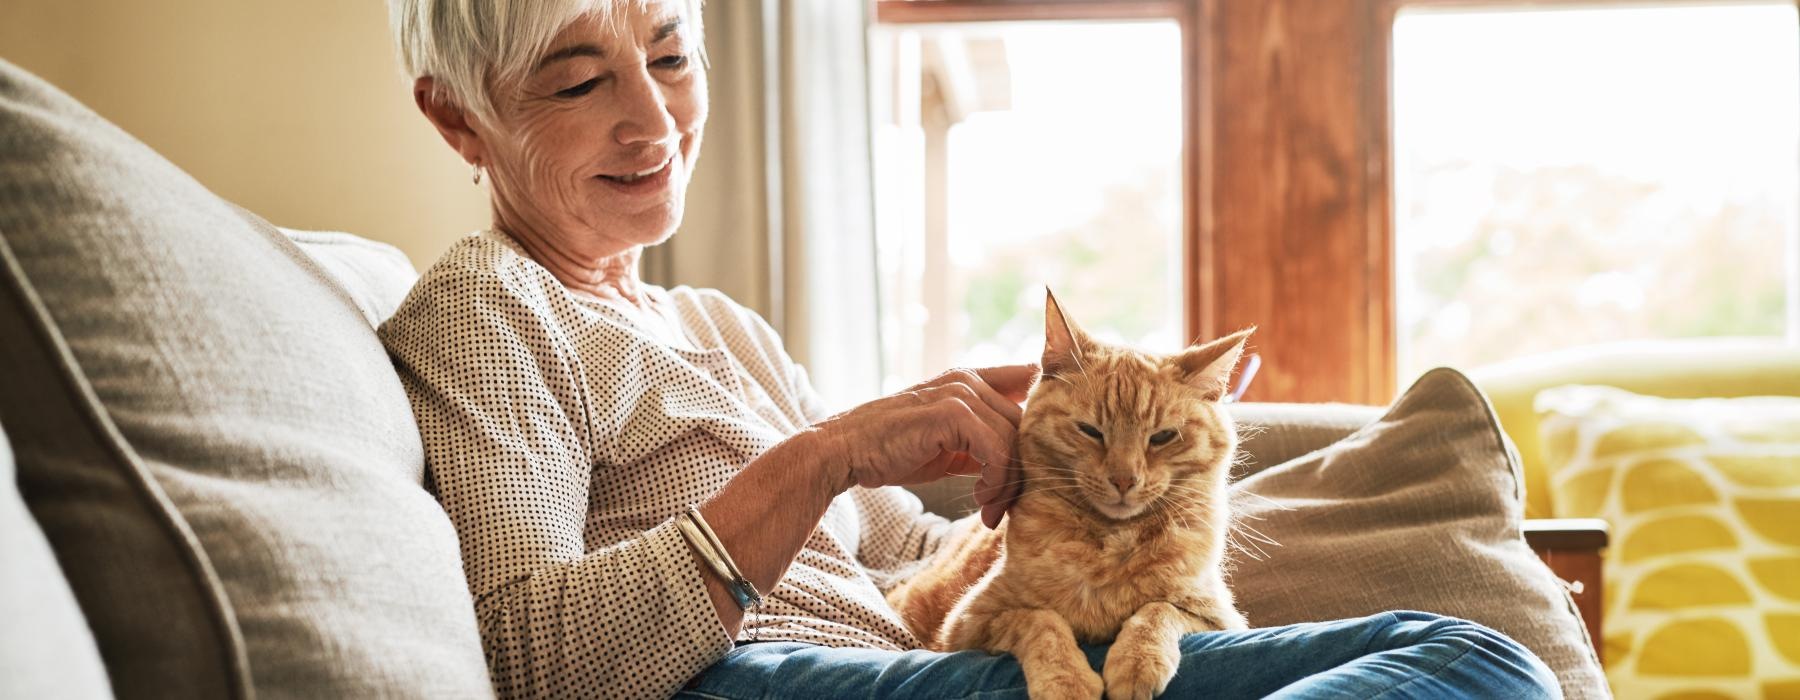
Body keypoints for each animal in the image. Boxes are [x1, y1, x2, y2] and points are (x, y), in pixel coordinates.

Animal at [885, 291, 1252, 698]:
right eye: (1090, 431)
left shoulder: (1219, 616)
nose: (1124, 479)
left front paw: (1136, 661)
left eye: (1162, 437)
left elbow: (1159, 610)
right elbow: (1040, 620)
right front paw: (1067, 680)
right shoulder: (968, 625)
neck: (1110, 543)